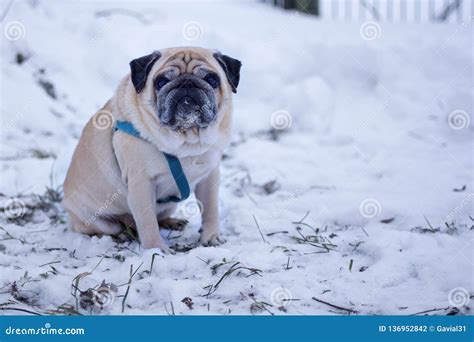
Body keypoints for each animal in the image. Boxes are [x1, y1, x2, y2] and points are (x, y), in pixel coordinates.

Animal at [63, 46, 241, 252]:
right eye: (161, 81)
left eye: (212, 79)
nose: (187, 84)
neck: (185, 141)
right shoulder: (141, 184)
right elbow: (147, 221)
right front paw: (156, 249)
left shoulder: (209, 178)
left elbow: (211, 209)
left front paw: (211, 238)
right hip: (95, 219)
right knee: (108, 227)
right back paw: (120, 234)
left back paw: (170, 222)